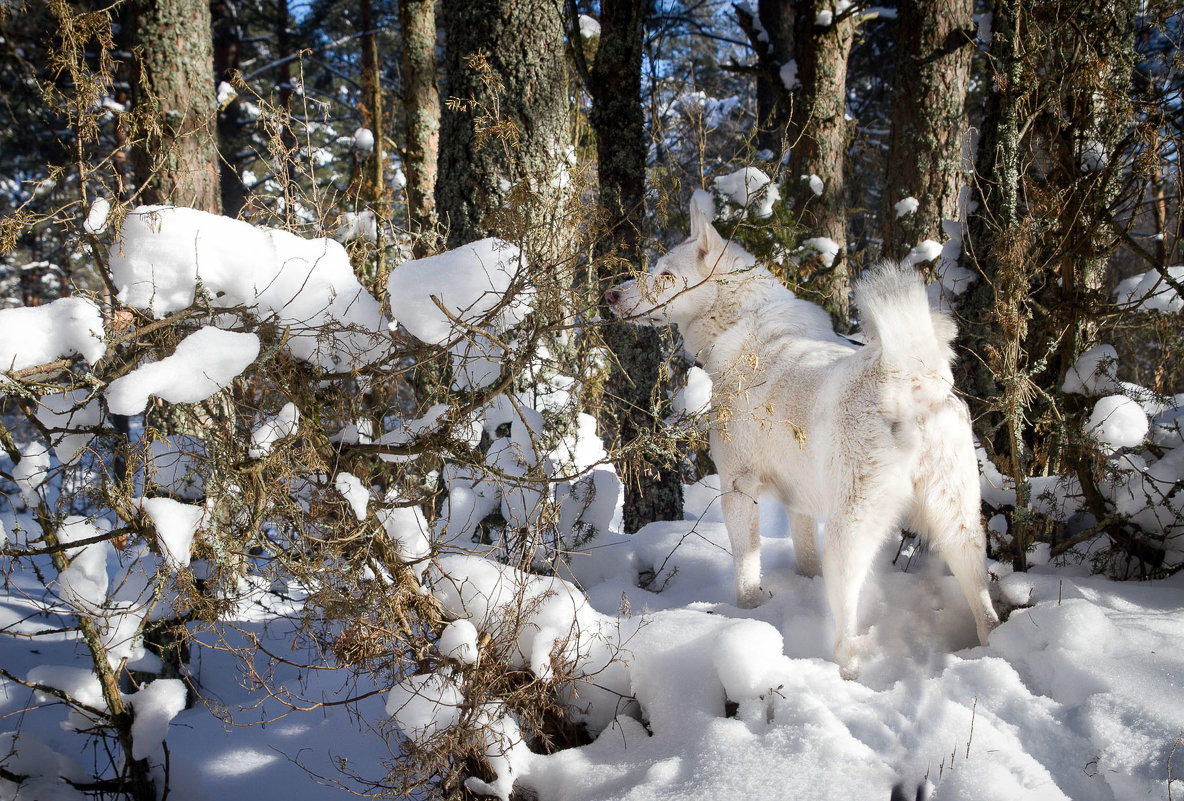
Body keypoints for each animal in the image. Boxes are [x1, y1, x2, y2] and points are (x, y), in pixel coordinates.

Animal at [610, 199, 999, 676]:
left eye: (665, 274)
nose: (611, 295)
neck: (742, 324)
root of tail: (908, 379)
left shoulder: (737, 488)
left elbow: (746, 573)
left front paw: (749, 614)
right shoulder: (797, 505)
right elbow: (805, 559)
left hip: (849, 533)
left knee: (848, 633)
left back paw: (842, 671)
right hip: (960, 526)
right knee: (986, 613)